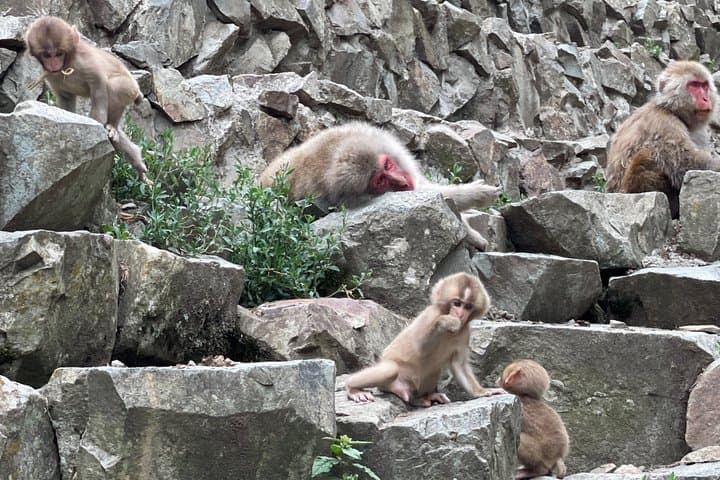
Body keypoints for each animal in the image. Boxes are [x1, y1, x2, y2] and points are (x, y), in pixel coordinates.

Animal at [24, 16, 150, 183]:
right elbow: (66, 99)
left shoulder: (84, 60)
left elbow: (99, 84)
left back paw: (112, 126)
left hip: (130, 87)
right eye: (47, 55)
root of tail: (137, 89)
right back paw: (136, 160)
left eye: (59, 53)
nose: (53, 63)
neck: (67, 64)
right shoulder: (51, 75)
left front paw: (97, 123)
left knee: (114, 86)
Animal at [345, 272, 505, 407]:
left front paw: (483, 391)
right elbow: (419, 346)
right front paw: (445, 321)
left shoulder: (465, 333)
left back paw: (424, 398)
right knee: (390, 370)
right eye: (457, 303)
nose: (460, 314)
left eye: (468, 306)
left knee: (433, 371)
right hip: (389, 382)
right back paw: (352, 388)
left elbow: (459, 365)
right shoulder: (430, 315)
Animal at [605, 60, 720, 218]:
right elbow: (685, 163)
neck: (671, 110)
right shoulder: (664, 124)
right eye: (694, 85)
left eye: (704, 86)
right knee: (646, 155)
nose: (705, 99)